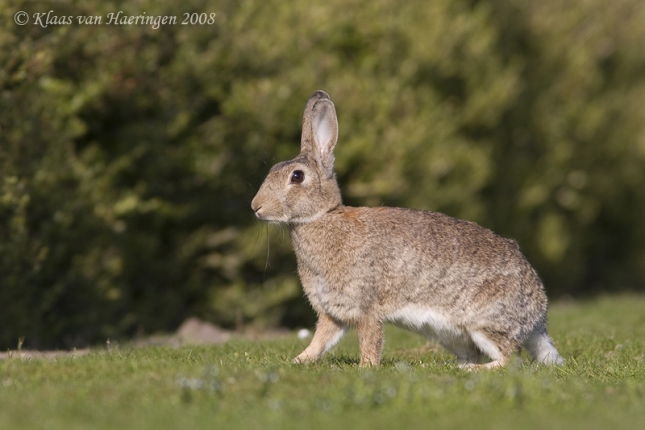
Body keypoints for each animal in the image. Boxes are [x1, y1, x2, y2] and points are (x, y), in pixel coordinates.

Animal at [252, 90, 564, 370]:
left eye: (297, 176)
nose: (255, 207)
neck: (322, 218)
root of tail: (538, 314)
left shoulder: (366, 307)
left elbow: (370, 340)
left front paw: (366, 368)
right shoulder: (332, 312)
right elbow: (319, 341)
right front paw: (298, 361)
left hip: (483, 322)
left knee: (510, 359)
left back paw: (471, 371)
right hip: (453, 334)